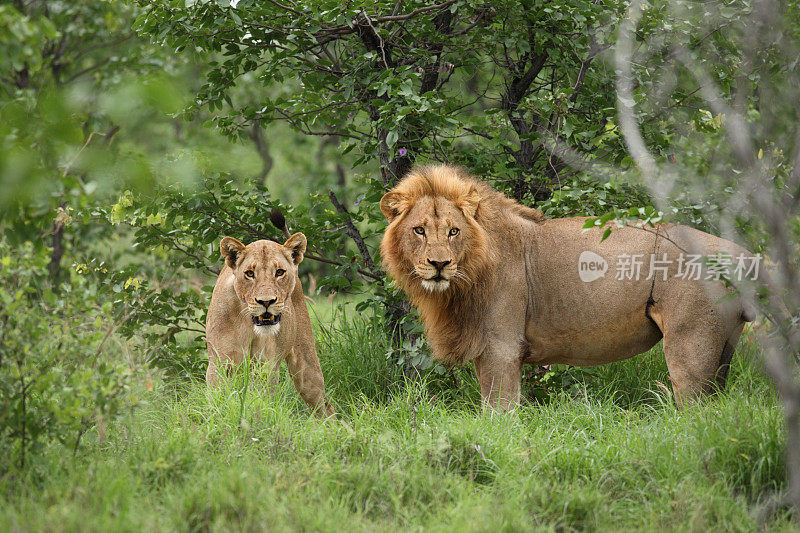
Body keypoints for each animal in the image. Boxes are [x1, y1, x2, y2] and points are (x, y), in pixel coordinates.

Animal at [206, 233, 334, 416]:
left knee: (324, 407)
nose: (266, 302)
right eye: (249, 273)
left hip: (307, 368)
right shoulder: (220, 362)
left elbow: (259, 402)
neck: (247, 322)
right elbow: (218, 401)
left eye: (279, 272)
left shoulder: (265, 366)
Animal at [382, 164, 756, 410]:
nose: (439, 264)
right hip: (723, 345)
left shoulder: (502, 348)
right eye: (419, 230)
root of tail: (744, 253)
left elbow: (499, 413)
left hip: (690, 345)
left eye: (453, 231)